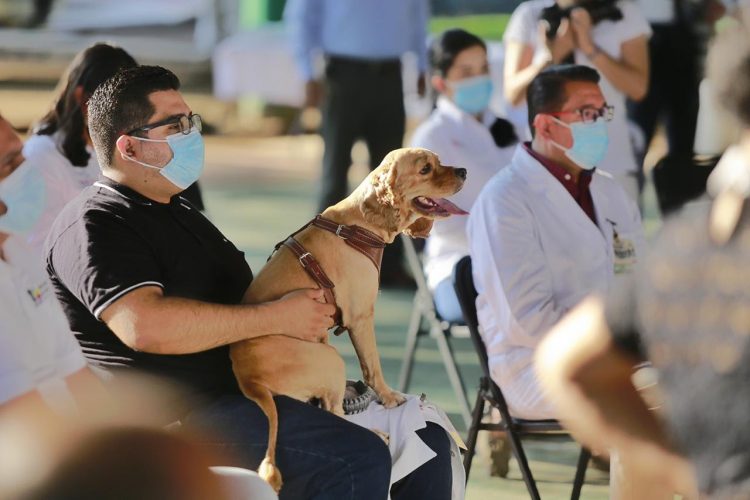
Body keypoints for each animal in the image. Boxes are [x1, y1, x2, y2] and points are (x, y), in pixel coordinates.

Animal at [229, 148, 468, 492]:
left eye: (439, 160)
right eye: (425, 169)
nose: (463, 171)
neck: (360, 223)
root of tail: (249, 381)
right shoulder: (361, 317)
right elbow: (373, 366)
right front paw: (389, 397)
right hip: (331, 359)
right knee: (334, 412)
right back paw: (377, 433)